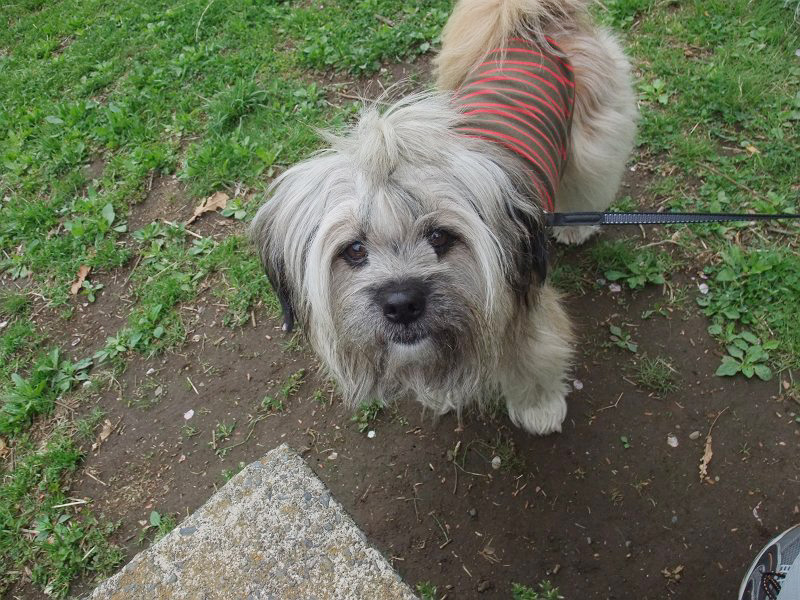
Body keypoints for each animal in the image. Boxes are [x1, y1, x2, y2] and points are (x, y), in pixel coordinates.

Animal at [250, 0, 637, 435]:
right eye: (354, 249)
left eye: (439, 237)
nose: (402, 304)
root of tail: (530, 21)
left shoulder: (527, 310)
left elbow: (535, 360)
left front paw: (540, 408)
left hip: (593, 141)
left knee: (590, 180)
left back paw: (579, 224)